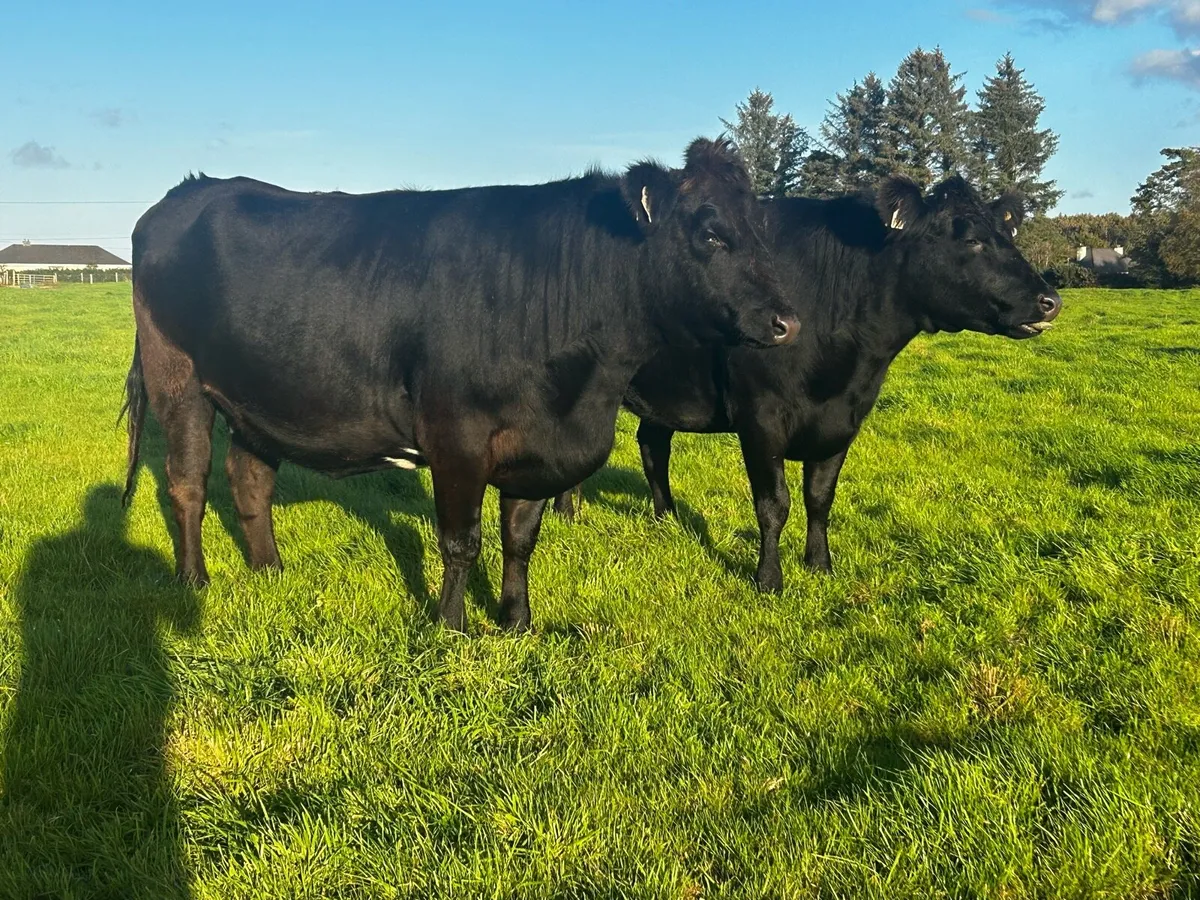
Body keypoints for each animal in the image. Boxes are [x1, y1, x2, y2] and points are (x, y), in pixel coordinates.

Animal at [120, 137, 801, 633]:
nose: (787, 322)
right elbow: (460, 541)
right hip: (178, 379)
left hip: (261, 394)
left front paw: (517, 621)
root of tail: (188, 190)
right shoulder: (456, 435)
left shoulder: (534, 443)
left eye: (763, 230)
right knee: (188, 483)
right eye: (710, 233)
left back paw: (270, 570)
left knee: (250, 478)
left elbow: (520, 539)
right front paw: (451, 627)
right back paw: (194, 581)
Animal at [553, 175, 1062, 592]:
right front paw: (769, 580)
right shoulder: (759, 416)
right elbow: (773, 504)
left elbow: (820, 498)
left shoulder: (844, 418)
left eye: (1008, 234)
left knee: (653, 444)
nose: (1050, 300)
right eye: (972, 239)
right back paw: (567, 510)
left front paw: (820, 565)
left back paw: (665, 520)